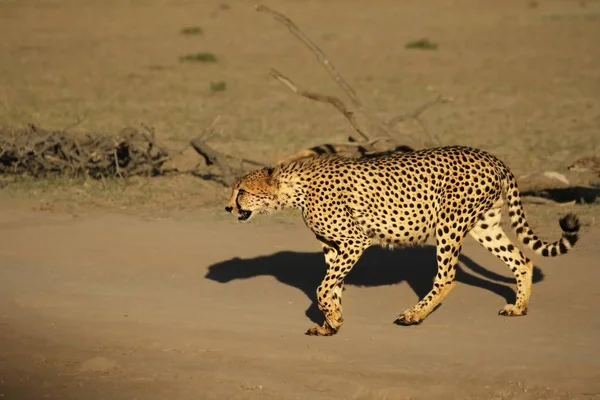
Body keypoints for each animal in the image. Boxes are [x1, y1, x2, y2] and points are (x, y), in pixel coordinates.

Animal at [225, 145, 580, 336]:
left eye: (241, 191)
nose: (228, 207)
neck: (294, 189)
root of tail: (490, 156)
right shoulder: (333, 247)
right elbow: (331, 287)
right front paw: (331, 323)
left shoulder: (354, 241)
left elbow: (322, 288)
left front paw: (332, 319)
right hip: (484, 225)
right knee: (522, 259)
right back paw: (518, 308)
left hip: (449, 224)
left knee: (447, 277)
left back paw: (413, 315)